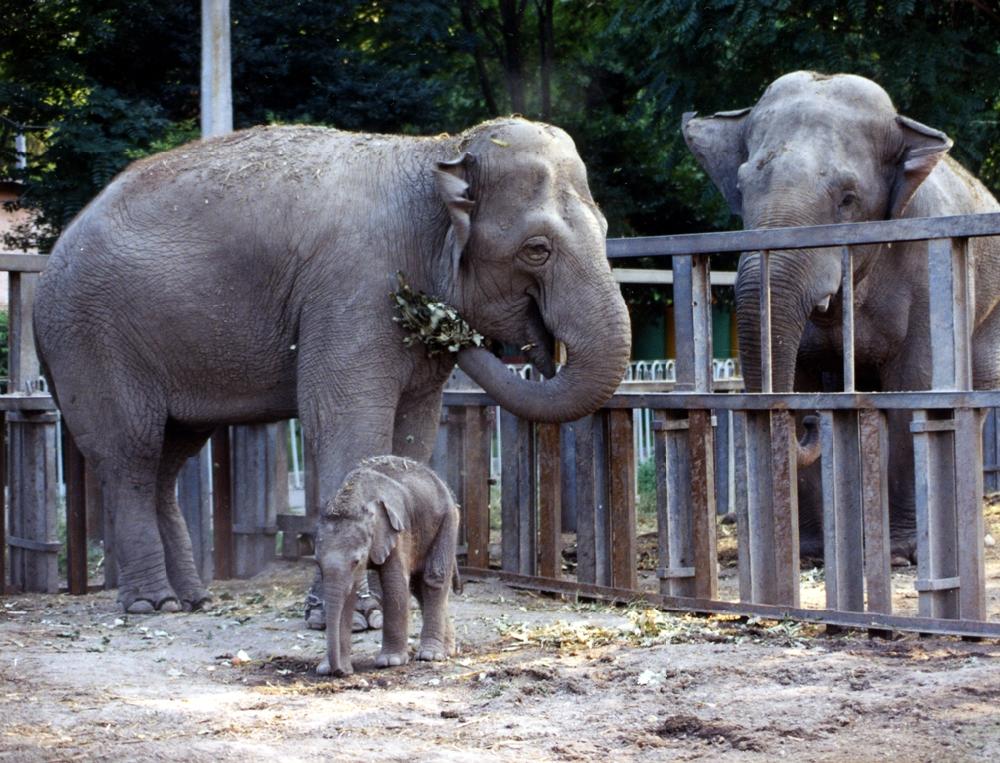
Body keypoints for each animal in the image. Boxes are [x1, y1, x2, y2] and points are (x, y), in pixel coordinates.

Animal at [37, 116, 632, 612]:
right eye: (537, 249)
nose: (436, 315)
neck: (437, 153)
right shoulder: (353, 288)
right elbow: (346, 421)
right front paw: (353, 613)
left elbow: (413, 433)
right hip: (93, 340)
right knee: (131, 454)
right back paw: (150, 604)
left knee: (169, 457)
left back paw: (191, 600)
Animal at [316, 456, 460, 676]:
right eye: (317, 563)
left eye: (356, 561)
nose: (340, 672)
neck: (354, 497)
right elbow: (347, 596)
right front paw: (325, 669)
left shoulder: (397, 530)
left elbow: (394, 583)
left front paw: (390, 662)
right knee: (418, 587)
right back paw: (448, 650)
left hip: (447, 521)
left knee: (433, 579)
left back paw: (430, 656)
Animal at [684, 71, 1000, 560]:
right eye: (740, 187)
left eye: (848, 198)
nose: (811, 425)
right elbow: (801, 382)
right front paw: (811, 551)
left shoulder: (930, 272)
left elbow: (914, 385)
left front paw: (903, 552)